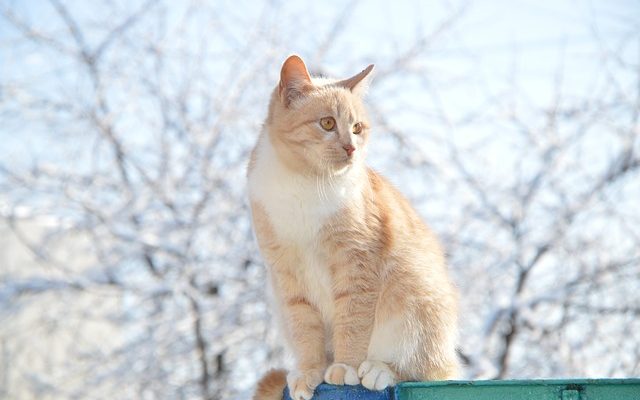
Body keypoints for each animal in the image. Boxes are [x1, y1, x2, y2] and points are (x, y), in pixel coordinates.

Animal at [248, 54, 458, 400]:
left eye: (357, 128)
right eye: (327, 124)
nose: (351, 148)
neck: (304, 183)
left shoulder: (357, 263)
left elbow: (353, 321)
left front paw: (345, 368)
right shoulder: (287, 275)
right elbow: (305, 329)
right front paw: (310, 371)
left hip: (416, 295)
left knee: (427, 370)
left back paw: (378, 369)